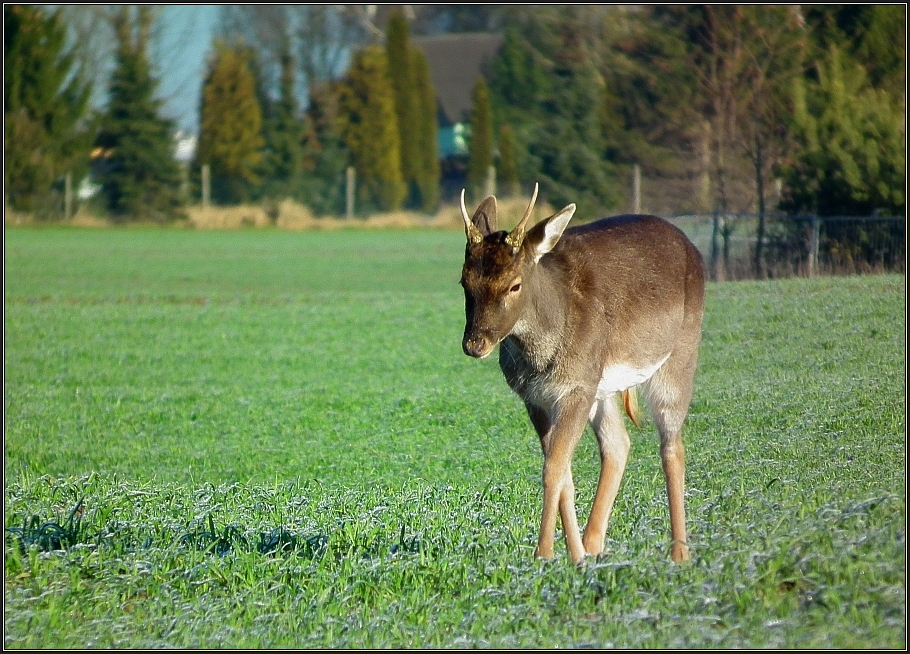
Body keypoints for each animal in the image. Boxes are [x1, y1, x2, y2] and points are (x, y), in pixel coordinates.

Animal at [460, 183, 708, 564]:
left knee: (672, 446)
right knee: (619, 444)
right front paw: (573, 556)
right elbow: (563, 472)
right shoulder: (535, 397)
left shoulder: (576, 387)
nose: (475, 344)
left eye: (514, 285)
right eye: (463, 281)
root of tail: (689, 245)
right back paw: (593, 546)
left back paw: (679, 553)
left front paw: (544, 553)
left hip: (679, 352)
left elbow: (553, 469)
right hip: (602, 388)